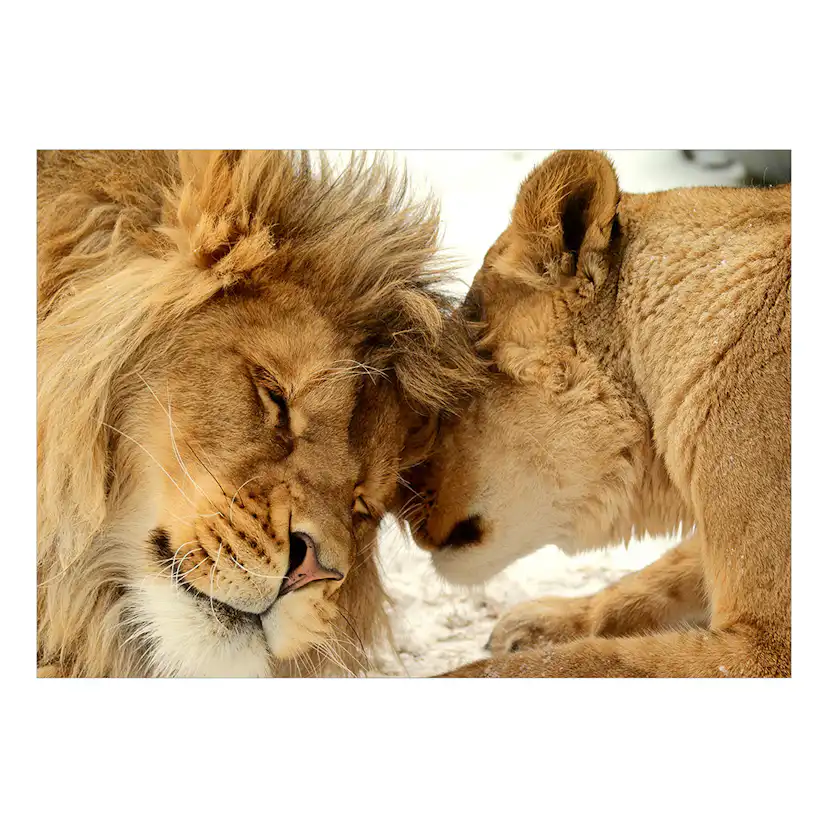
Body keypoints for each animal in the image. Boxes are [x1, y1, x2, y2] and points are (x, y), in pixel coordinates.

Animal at [407, 150, 791, 677]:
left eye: (448, 394)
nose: (398, 506)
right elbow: (658, 577)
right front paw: (540, 623)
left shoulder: (768, 647)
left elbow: (579, 662)